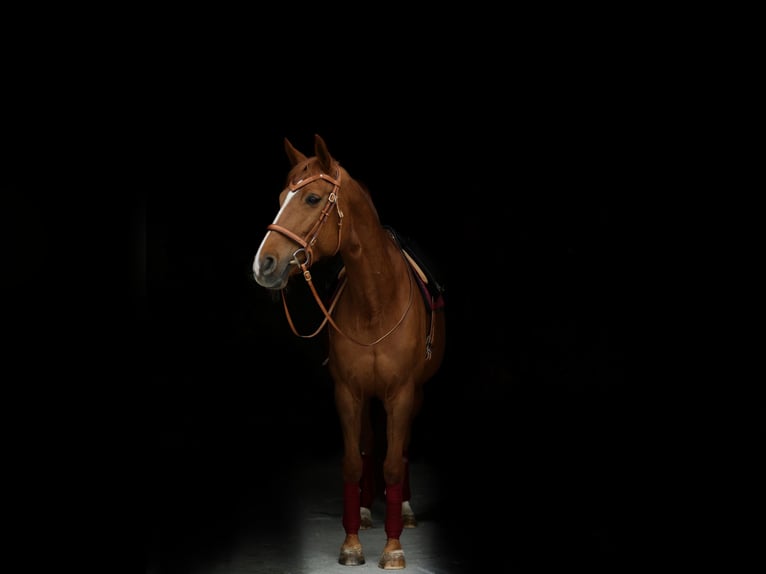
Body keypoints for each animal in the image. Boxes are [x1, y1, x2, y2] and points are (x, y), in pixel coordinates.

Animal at [251, 134, 446, 569]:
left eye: (311, 199)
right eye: (280, 197)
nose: (263, 264)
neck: (376, 302)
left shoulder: (402, 394)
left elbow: (394, 465)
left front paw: (393, 549)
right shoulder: (347, 393)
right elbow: (353, 462)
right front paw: (353, 542)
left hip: (414, 395)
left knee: (401, 450)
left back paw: (404, 511)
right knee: (369, 443)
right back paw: (366, 510)